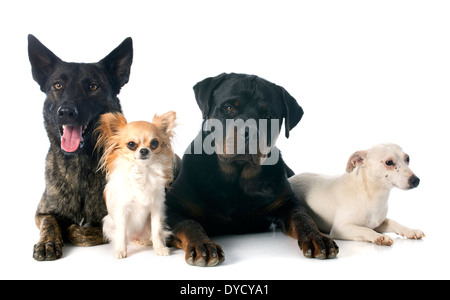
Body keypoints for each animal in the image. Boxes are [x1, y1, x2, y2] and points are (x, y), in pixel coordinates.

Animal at [290, 144, 424, 246]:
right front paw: (379, 237)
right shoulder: (341, 228)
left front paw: (410, 231)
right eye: (389, 162)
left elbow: (394, 223)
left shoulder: (379, 223)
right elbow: (365, 229)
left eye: (408, 159)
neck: (372, 196)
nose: (416, 180)